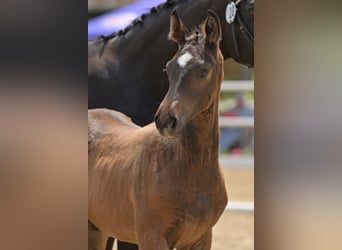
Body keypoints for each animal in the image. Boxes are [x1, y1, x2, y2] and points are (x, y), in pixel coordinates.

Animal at [88, 10, 227, 249]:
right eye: (168, 68)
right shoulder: (151, 237)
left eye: (203, 70)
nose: (165, 120)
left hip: (97, 230)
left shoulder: (201, 237)